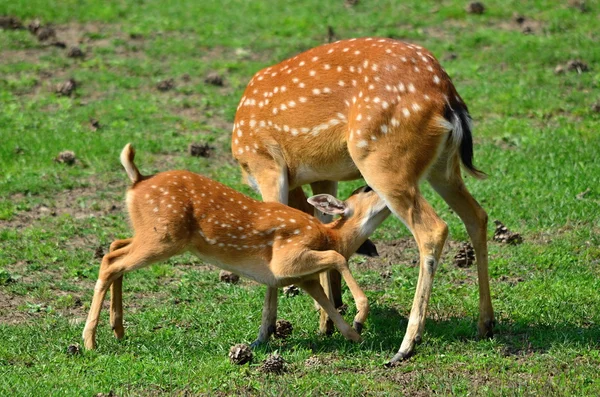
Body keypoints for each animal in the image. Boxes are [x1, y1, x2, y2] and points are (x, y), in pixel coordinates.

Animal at [82, 144, 390, 348]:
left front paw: (355, 336)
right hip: (164, 238)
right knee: (111, 262)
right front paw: (361, 317)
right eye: (366, 189)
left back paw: (118, 330)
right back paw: (90, 341)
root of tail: (137, 180)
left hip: (149, 232)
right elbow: (338, 259)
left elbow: (327, 303)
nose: (388, 189)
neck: (330, 235)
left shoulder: (303, 278)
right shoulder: (286, 259)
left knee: (115, 247)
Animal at [232, 37, 494, 362]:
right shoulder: (322, 174)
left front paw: (263, 334)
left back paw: (406, 345)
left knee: (433, 229)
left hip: (382, 159)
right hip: (443, 166)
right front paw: (328, 320)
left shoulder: (265, 164)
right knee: (477, 216)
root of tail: (449, 98)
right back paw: (486, 324)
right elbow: (324, 228)